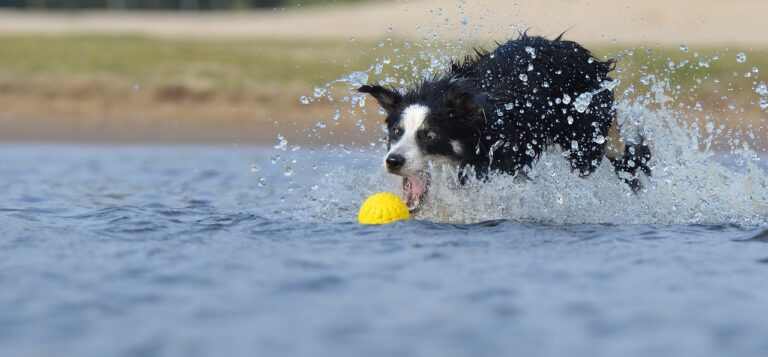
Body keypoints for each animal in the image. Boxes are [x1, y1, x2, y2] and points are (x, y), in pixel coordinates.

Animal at [358, 33, 648, 211]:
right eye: (396, 132)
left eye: (429, 135)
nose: (393, 161)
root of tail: (582, 53)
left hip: (585, 141)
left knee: (619, 156)